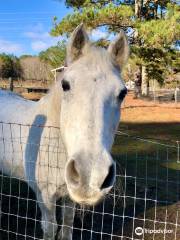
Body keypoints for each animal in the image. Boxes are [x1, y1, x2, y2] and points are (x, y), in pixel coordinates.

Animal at [0, 23, 129, 239]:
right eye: (65, 85)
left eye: (122, 93)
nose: (90, 176)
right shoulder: (45, 196)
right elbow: (50, 228)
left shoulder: (70, 196)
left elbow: (67, 226)